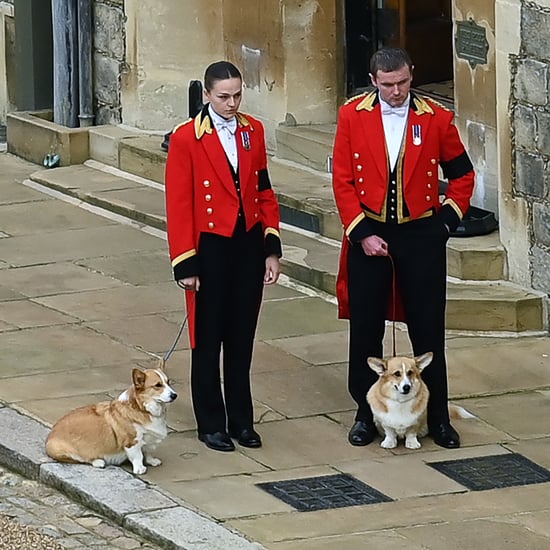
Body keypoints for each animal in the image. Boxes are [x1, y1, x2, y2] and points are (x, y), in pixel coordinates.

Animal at [47, 364, 179, 476]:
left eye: (168, 382)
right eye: (158, 385)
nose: (175, 395)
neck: (142, 408)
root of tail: (50, 435)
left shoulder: (148, 440)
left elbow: (147, 452)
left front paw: (152, 461)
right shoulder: (132, 441)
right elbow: (138, 456)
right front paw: (139, 468)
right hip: (64, 450)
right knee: (81, 459)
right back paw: (98, 461)